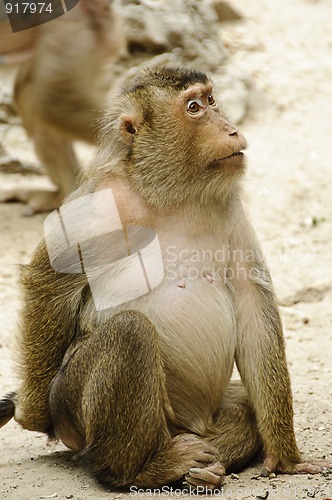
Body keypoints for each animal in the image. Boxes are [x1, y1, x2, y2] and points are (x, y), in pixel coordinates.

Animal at [0, 65, 330, 488]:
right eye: (193, 108)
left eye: (211, 100)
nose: (232, 129)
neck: (171, 194)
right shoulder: (96, 204)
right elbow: (47, 283)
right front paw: (34, 415)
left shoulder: (230, 205)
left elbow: (253, 307)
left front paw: (286, 458)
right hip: (82, 405)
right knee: (131, 333)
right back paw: (143, 468)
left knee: (241, 405)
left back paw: (202, 461)